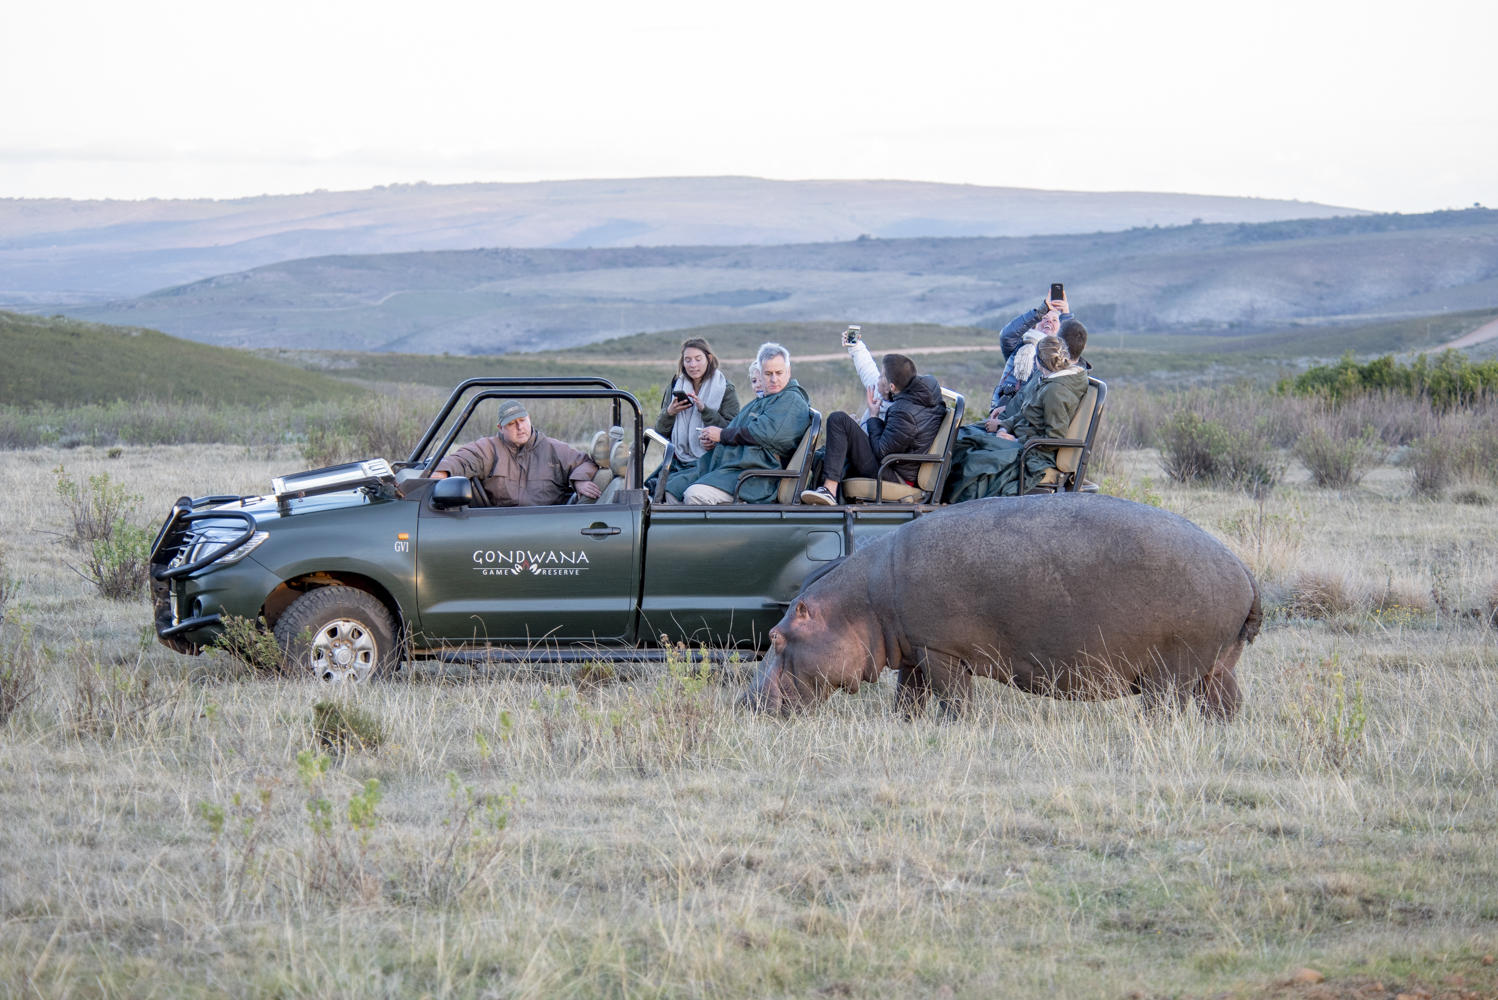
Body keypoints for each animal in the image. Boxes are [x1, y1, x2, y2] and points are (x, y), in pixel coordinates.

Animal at [745, 493, 1260, 718]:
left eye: (775, 636)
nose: (744, 701)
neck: (860, 603)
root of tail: (1242, 569)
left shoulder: (942, 652)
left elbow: (954, 699)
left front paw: (956, 728)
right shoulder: (913, 650)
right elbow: (908, 695)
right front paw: (906, 725)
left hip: (1170, 670)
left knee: (1164, 710)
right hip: (1217, 665)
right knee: (1227, 704)